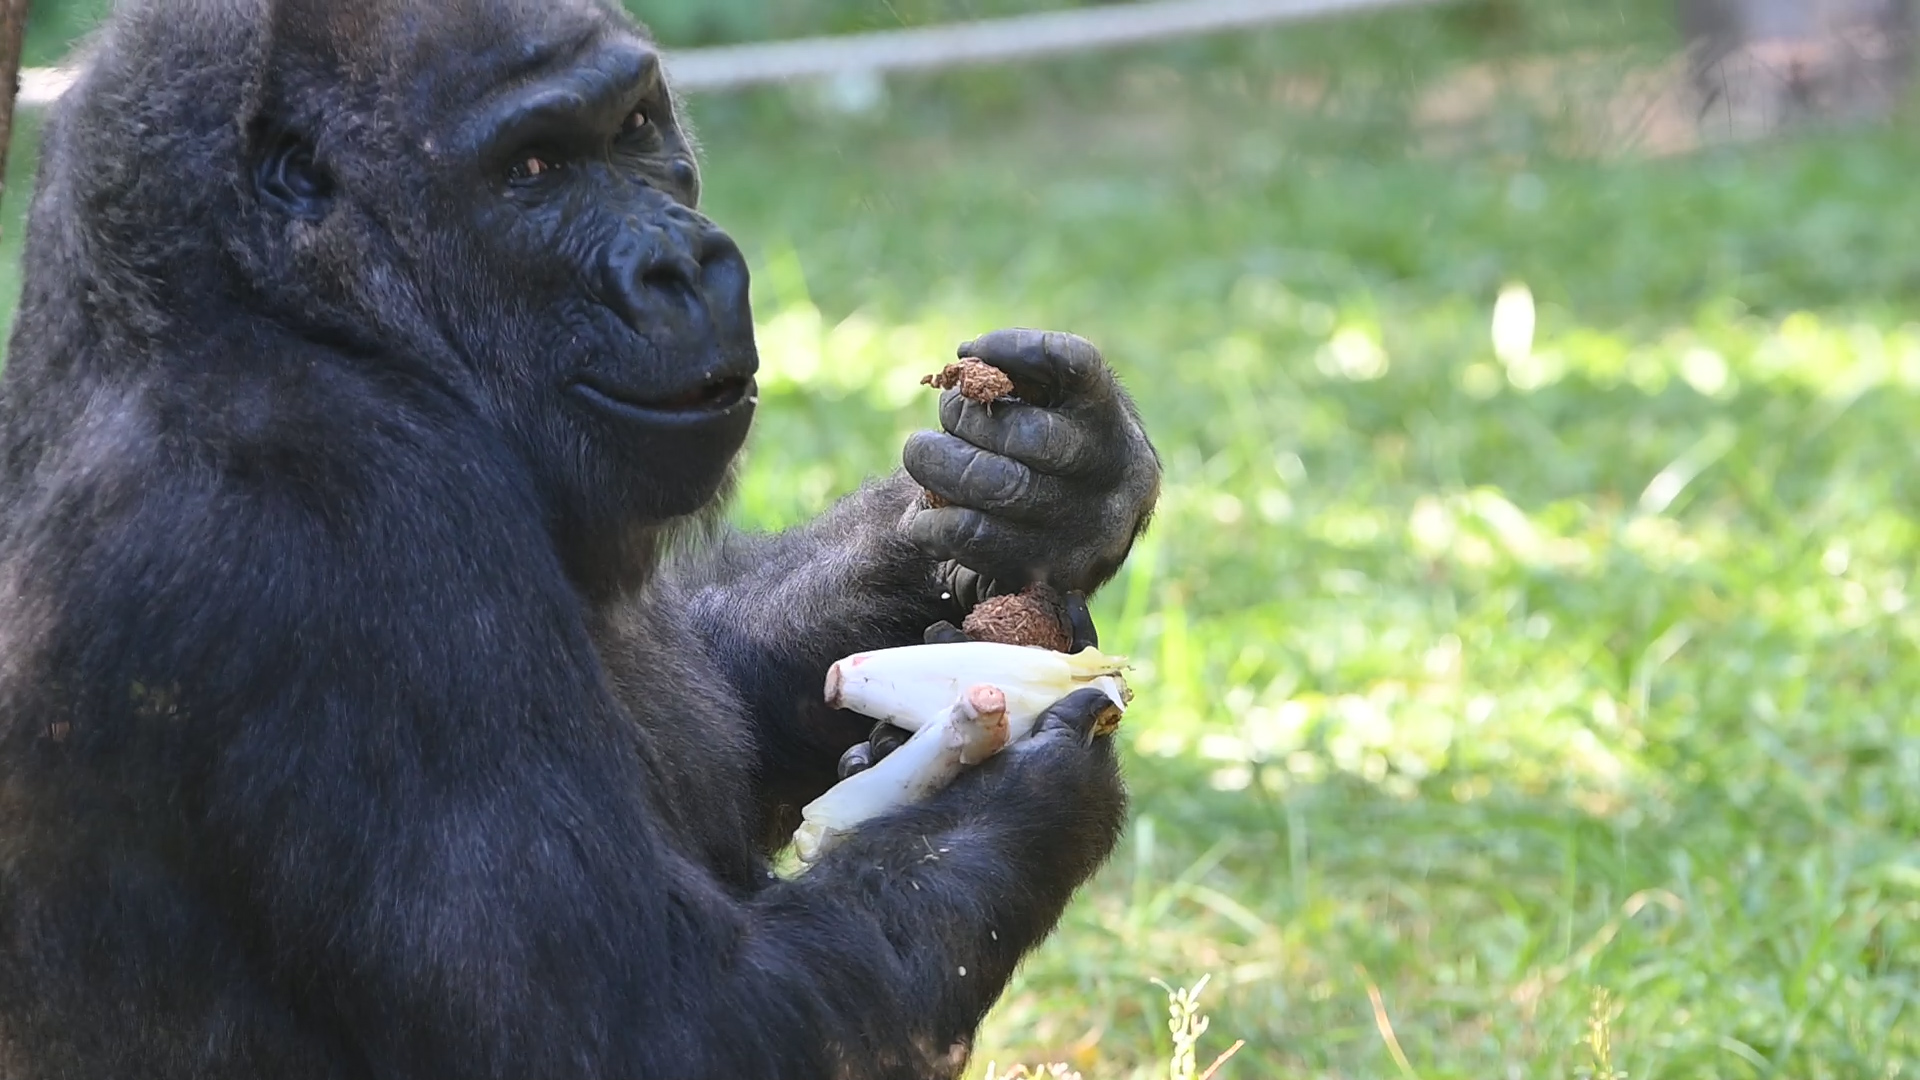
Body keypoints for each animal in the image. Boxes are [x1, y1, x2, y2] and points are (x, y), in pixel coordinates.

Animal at [0, 0, 1159, 1068]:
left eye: (634, 129)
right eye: (535, 168)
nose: (686, 264)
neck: (291, 314)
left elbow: (722, 698)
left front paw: (1058, 485)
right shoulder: (355, 533)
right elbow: (655, 1032)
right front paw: (1031, 783)